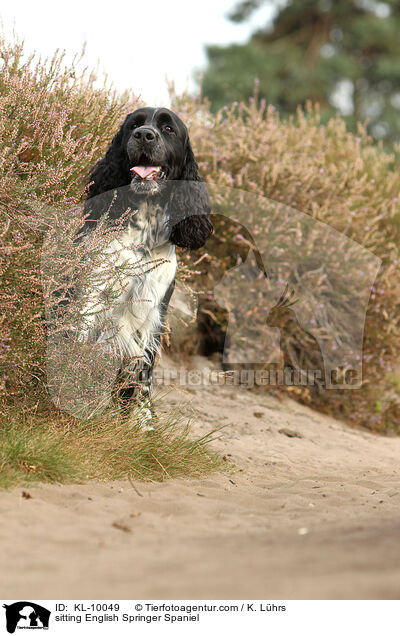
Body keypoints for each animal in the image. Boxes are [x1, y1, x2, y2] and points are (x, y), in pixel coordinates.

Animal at [75, 107, 212, 420]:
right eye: (133, 125)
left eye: (168, 128)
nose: (144, 135)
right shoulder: (91, 295)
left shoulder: (153, 310)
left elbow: (143, 370)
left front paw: (141, 420)